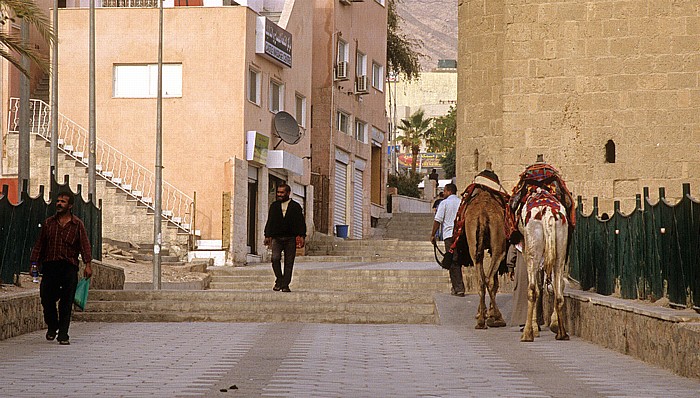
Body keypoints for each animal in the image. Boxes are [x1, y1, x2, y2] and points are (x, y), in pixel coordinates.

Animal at [520, 187, 568, 342]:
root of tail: (548, 213)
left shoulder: (527, 251)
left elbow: (536, 288)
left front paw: (534, 328)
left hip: (533, 249)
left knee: (532, 289)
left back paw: (527, 334)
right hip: (560, 248)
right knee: (558, 291)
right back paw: (561, 333)